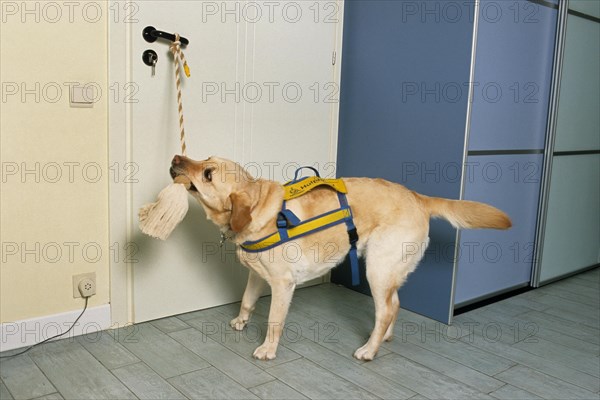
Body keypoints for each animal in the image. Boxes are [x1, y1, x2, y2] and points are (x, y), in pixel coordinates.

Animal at [169, 155, 510, 360]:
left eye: (208, 174)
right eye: (205, 159)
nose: (175, 158)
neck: (259, 209)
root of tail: (418, 197)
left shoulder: (282, 283)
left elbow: (274, 320)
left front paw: (267, 348)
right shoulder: (257, 274)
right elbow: (247, 300)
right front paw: (241, 321)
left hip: (377, 269)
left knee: (385, 310)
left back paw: (369, 349)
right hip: (388, 270)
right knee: (395, 304)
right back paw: (384, 338)